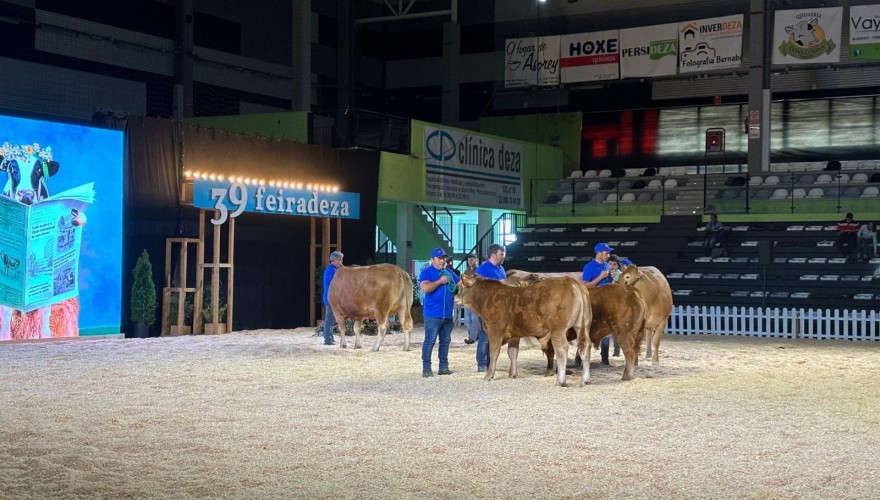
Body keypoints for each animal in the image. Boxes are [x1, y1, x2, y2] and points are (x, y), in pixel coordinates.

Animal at [456, 273, 592, 387]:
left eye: (461, 286)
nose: (455, 297)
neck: (487, 297)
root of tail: (573, 283)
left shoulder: (495, 330)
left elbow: (493, 352)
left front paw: (488, 375)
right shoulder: (514, 335)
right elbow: (512, 353)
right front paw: (512, 374)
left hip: (558, 329)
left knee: (561, 349)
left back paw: (560, 381)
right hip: (583, 325)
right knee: (585, 347)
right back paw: (585, 380)